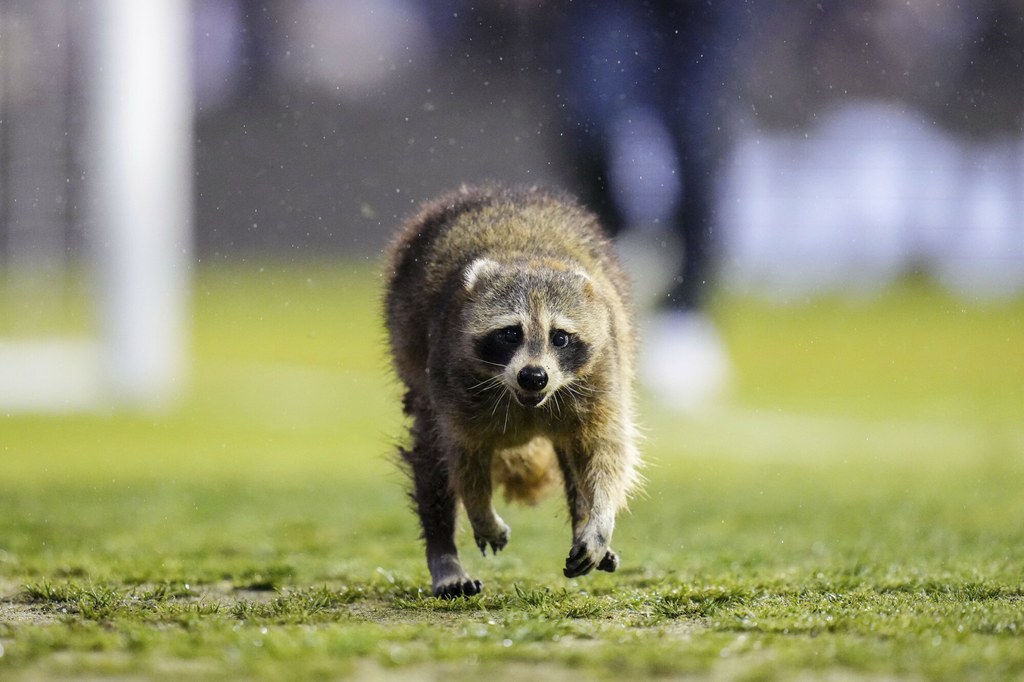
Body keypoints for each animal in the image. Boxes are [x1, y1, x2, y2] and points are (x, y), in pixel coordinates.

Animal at [385, 186, 638, 593]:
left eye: (560, 337)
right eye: (510, 333)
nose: (534, 376)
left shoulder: (602, 370)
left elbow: (606, 452)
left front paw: (599, 518)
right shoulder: (451, 376)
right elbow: (462, 454)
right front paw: (480, 511)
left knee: (577, 453)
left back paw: (582, 519)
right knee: (430, 455)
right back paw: (444, 552)